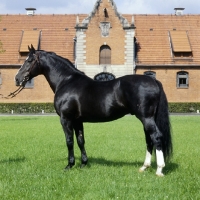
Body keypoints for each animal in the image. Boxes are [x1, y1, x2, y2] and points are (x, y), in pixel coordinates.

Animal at [15, 45, 172, 175]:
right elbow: (80, 141)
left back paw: (159, 170)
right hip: (147, 119)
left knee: (156, 137)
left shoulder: (66, 119)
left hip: (146, 118)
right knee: (149, 139)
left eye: (29, 60)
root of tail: (153, 80)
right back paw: (144, 167)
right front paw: (83, 164)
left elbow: (69, 141)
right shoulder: (77, 121)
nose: (17, 78)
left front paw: (69, 165)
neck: (66, 81)